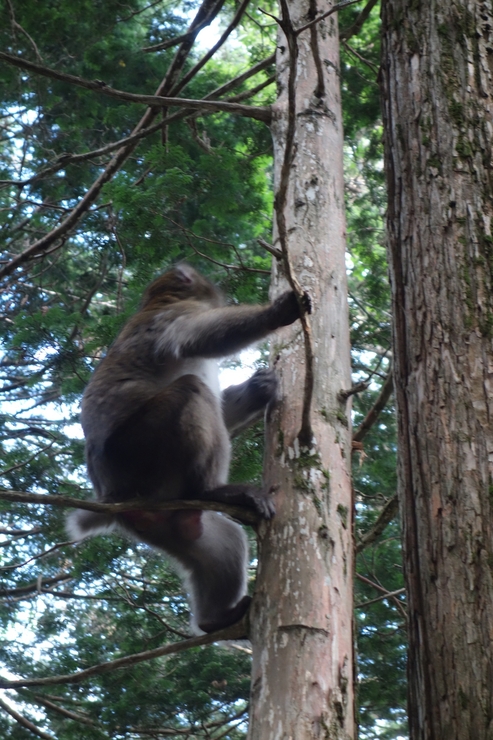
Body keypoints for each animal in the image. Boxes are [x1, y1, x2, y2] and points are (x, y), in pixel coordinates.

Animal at [67, 264, 310, 632]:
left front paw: (260, 389)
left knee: (222, 541)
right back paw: (214, 490)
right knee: (192, 390)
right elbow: (196, 337)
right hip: (137, 451)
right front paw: (278, 312)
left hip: (161, 514)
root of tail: (110, 494)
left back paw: (215, 619)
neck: (159, 299)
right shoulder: (172, 316)